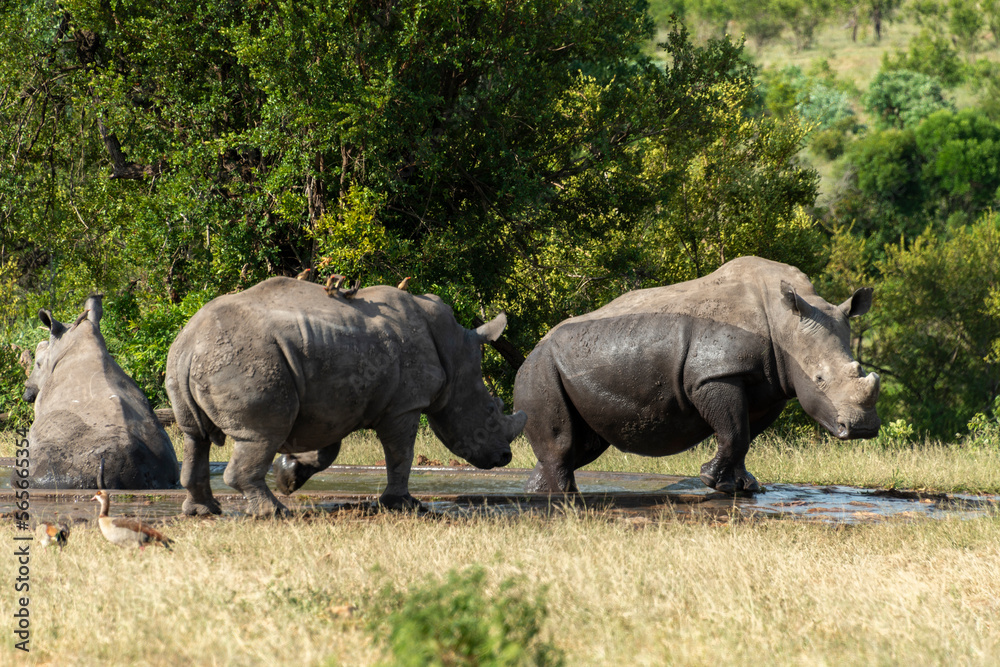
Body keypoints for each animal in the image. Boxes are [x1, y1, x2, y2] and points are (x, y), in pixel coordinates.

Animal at [165, 277, 527, 516]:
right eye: (491, 412)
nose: (505, 457)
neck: (455, 353)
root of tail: (191, 343)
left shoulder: (331, 399)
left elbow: (328, 449)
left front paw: (290, 475)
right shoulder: (403, 406)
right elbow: (401, 453)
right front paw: (404, 504)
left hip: (189, 358)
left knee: (194, 437)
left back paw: (203, 511)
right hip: (245, 359)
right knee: (262, 434)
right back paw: (274, 512)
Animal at [513, 256, 881, 494]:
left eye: (862, 371)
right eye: (819, 379)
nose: (862, 427)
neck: (784, 321)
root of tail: (533, 348)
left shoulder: (772, 386)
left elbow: (746, 435)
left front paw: (743, 487)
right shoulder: (714, 375)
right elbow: (735, 432)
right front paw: (709, 480)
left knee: (585, 445)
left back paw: (541, 494)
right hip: (540, 367)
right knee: (562, 443)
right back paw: (561, 499)